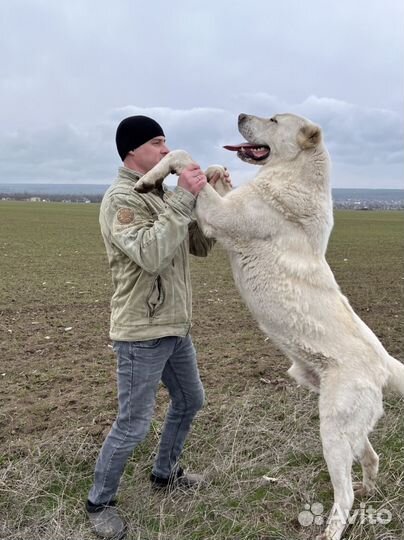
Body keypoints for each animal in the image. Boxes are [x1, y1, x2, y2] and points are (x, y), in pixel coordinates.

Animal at [137, 113, 404, 540]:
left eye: (275, 120)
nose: (240, 115)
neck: (292, 174)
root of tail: (383, 363)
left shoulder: (222, 218)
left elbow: (183, 155)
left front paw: (150, 179)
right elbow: (210, 169)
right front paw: (206, 172)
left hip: (333, 430)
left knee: (343, 493)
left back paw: (332, 527)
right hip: (346, 425)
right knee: (371, 456)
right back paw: (369, 491)